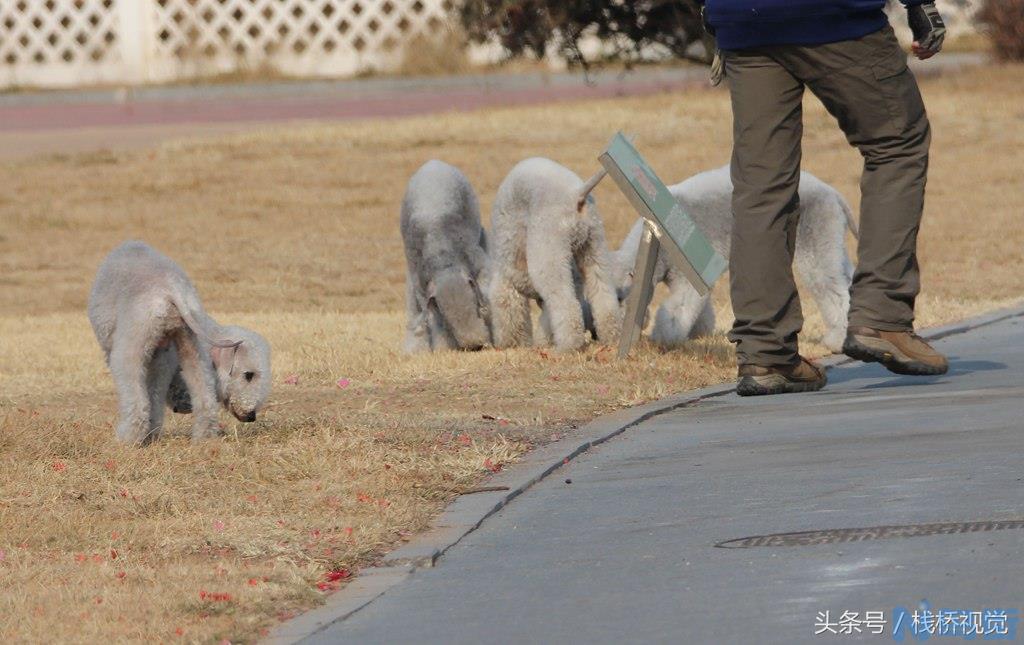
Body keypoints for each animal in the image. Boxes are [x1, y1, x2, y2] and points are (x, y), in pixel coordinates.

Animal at [88, 240, 272, 446]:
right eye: (249, 375)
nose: (251, 416)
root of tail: (171, 288)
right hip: (188, 343)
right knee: (204, 398)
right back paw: (202, 437)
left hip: (133, 345)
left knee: (137, 400)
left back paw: (127, 440)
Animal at [399, 160, 491, 354]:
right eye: (448, 319)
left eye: (474, 304)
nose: (476, 344)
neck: (443, 261)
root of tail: (432, 163)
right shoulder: (420, 283)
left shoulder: (477, 259)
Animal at [489, 157, 622, 354]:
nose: (504, 344)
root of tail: (576, 194)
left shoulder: (508, 266)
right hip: (594, 248)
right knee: (604, 295)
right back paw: (612, 339)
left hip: (548, 250)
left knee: (567, 305)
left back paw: (567, 347)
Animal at [610, 163, 860, 352]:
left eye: (620, 299)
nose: (611, 336)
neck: (657, 234)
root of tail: (832, 193)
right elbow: (700, 307)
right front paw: (698, 331)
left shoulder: (686, 274)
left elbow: (678, 307)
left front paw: (665, 338)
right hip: (832, 240)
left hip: (815, 239)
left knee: (833, 291)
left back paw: (837, 341)